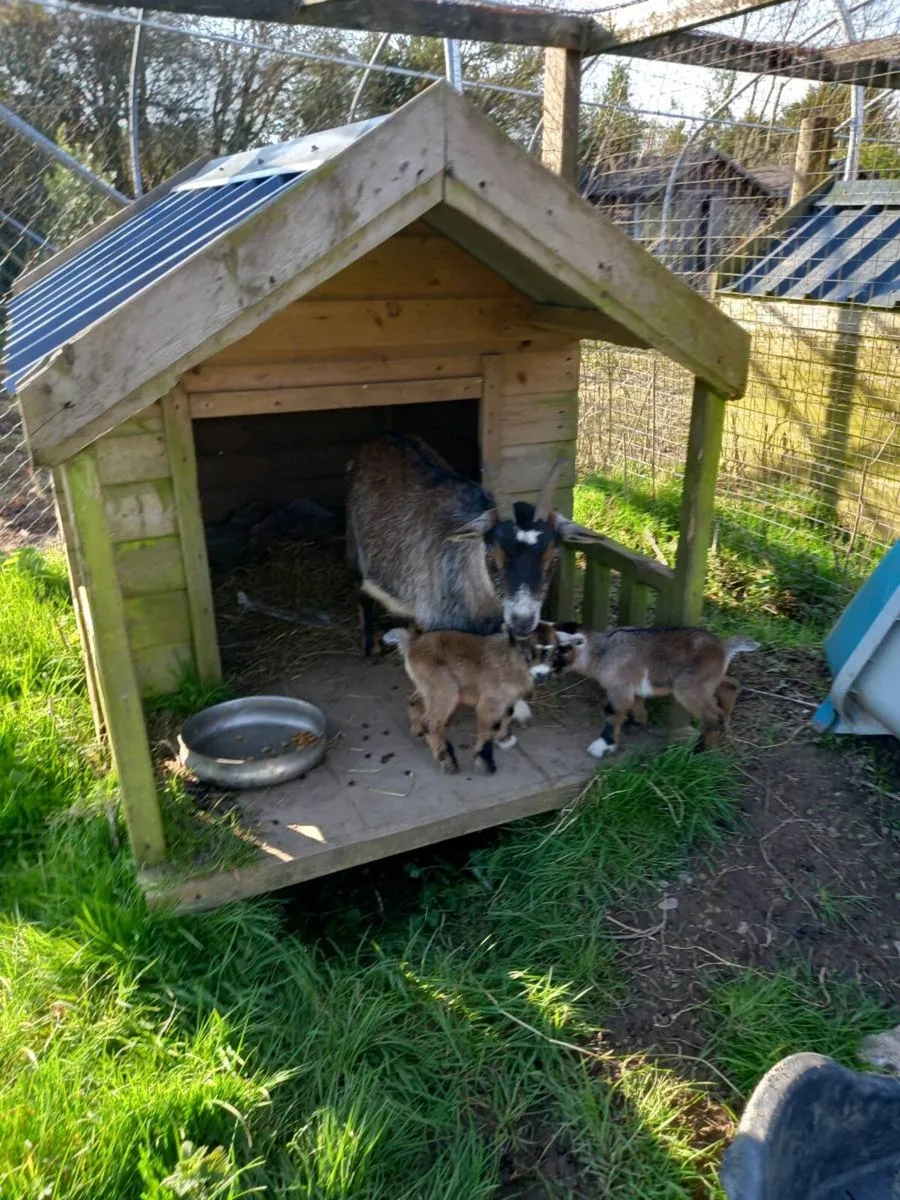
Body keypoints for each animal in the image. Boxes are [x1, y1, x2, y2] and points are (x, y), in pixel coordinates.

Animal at [346, 432, 604, 654]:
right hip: (354, 542)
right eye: (492, 556)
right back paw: (369, 645)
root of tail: (381, 437)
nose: (522, 621)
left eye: (553, 557)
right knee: (360, 586)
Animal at [382, 626, 551, 775]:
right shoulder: (490, 700)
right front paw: (484, 761)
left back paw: (419, 732)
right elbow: (490, 725)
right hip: (446, 689)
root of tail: (412, 643)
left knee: (414, 701)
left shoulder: (507, 698)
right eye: (532, 653)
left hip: (427, 686)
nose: (542, 675)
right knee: (431, 723)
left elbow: (508, 713)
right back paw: (447, 760)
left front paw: (504, 738)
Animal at [536, 623, 759, 758]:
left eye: (555, 652)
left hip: (688, 688)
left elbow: (611, 713)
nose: (540, 676)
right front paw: (636, 723)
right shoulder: (631, 688)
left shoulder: (619, 688)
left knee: (712, 716)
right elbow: (636, 705)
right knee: (729, 685)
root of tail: (722, 647)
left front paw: (602, 745)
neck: (603, 652)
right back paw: (723, 733)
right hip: (708, 680)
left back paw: (700, 750)